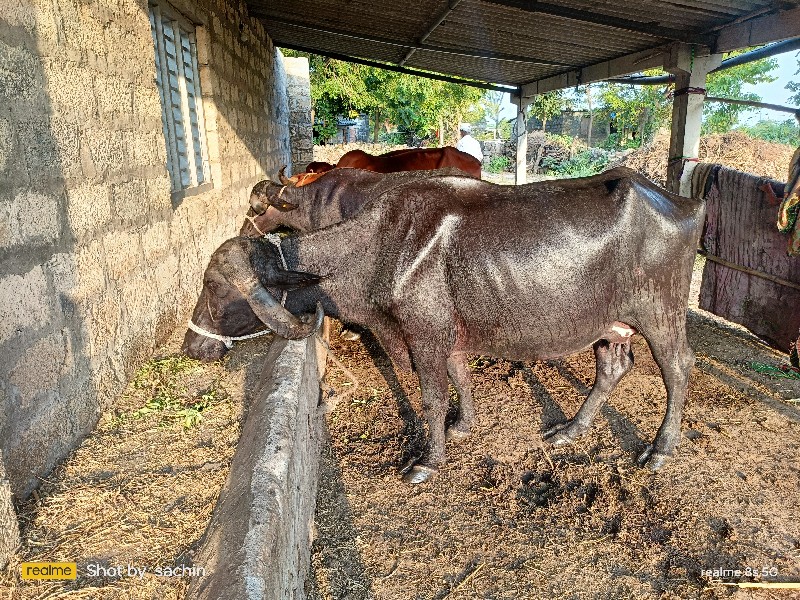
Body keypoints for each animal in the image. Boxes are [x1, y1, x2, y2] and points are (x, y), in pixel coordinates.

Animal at [184, 168, 704, 482]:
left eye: (213, 286)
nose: (192, 346)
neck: (381, 247)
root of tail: (685, 204)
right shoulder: (446, 338)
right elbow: (461, 377)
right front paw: (463, 425)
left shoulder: (423, 336)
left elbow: (432, 397)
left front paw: (428, 461)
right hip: (608, 325)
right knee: (611, 369)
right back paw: (571, 429)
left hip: (660, 315)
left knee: (679, 368)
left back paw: (660, 450)